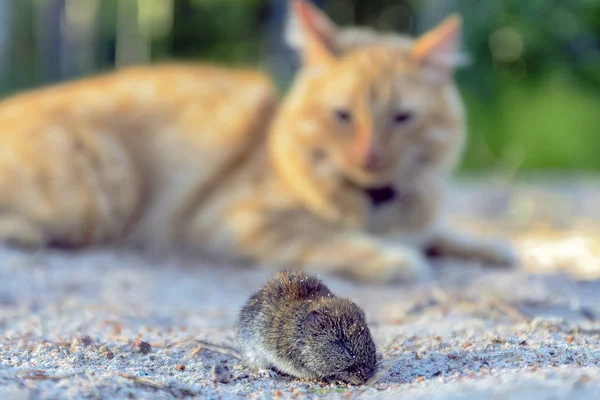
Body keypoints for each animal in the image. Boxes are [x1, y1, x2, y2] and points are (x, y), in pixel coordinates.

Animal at [0, 0, 516, 282]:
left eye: (402, 117)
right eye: (343, 116)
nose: (369, 156)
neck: (374, 202)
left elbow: (445, 233)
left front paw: (497, 247)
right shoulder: (231, 221)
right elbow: (328, 237)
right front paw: (394, 257)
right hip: (104, 185)